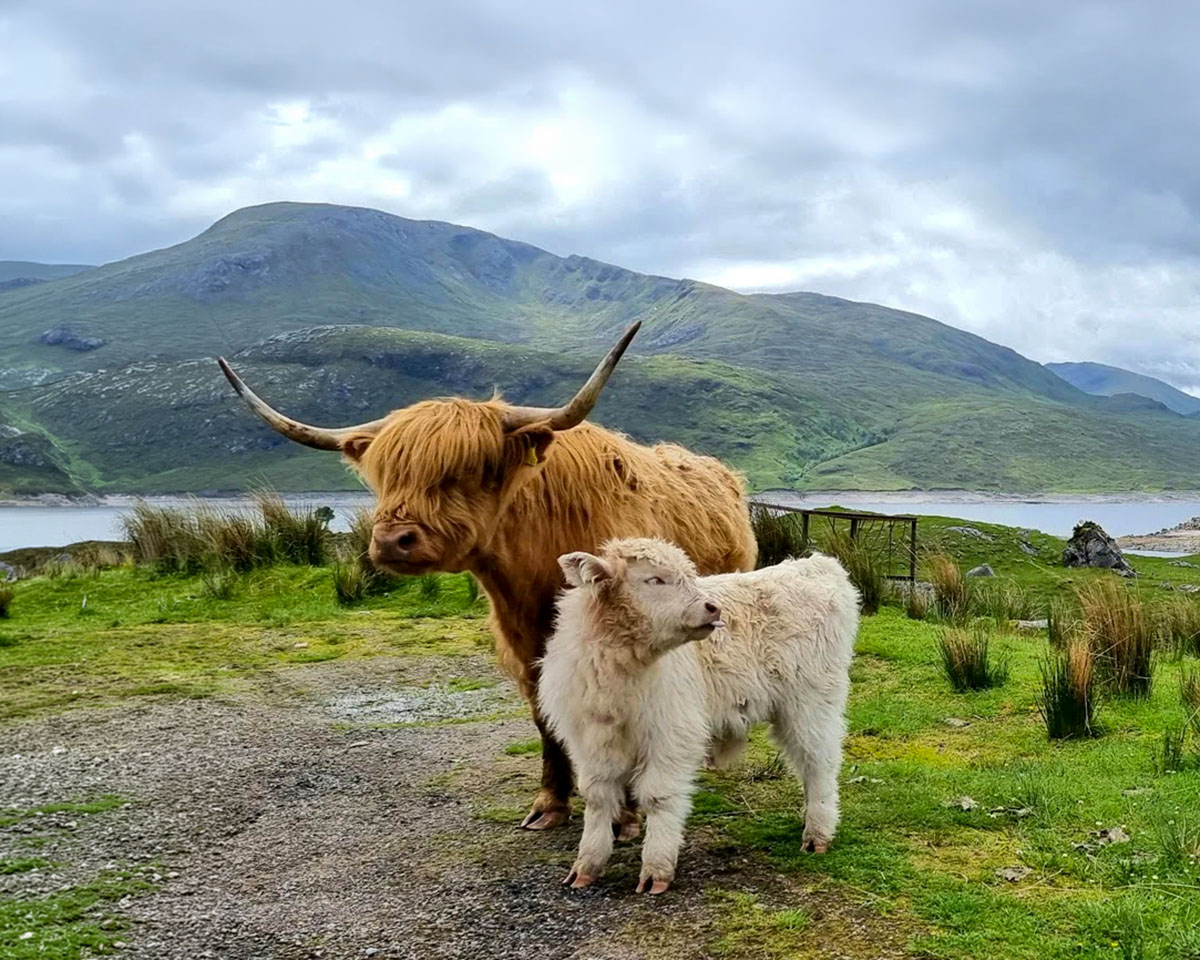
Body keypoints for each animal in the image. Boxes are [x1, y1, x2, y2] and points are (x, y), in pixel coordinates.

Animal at [218, 324, 756, 830]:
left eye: (469, 468)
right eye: (386, 474)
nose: (392, 541)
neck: (538, 567)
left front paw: (621, 815)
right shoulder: (524, 643)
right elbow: (544, 715)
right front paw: (550, 803)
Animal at [539, 538, 857, 893]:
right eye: (654, 579)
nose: (713, 607)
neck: (619, 670)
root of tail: (814, 564)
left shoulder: (671, 736)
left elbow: (658, 797)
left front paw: (656, 869)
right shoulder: (590, 741)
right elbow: (597, 798)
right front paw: (587, 864)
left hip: (812, 704)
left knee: (819, 764)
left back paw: (818, 832)